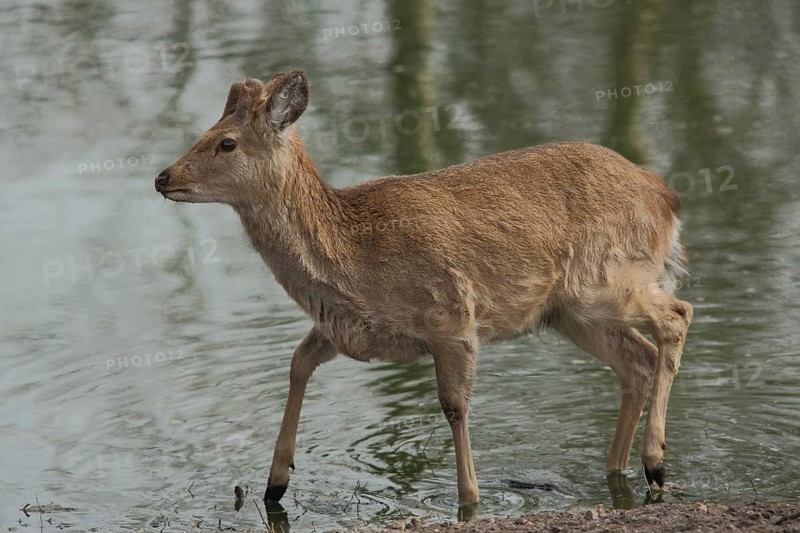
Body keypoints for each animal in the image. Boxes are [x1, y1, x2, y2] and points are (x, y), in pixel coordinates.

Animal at [154, 70, 692, 507]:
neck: (352, 259)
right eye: (203, 132)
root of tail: (666, 198)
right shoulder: (345, 329)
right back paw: (618, 468)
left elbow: (454, 404)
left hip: (603, 280)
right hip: (567, 312)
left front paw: (469, 497)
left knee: (676, 316)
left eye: (226, 142)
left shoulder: (452, 315)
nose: (163, 176)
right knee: (636, 359)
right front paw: (275, 482)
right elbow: (297, 362)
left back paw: (656, 462)